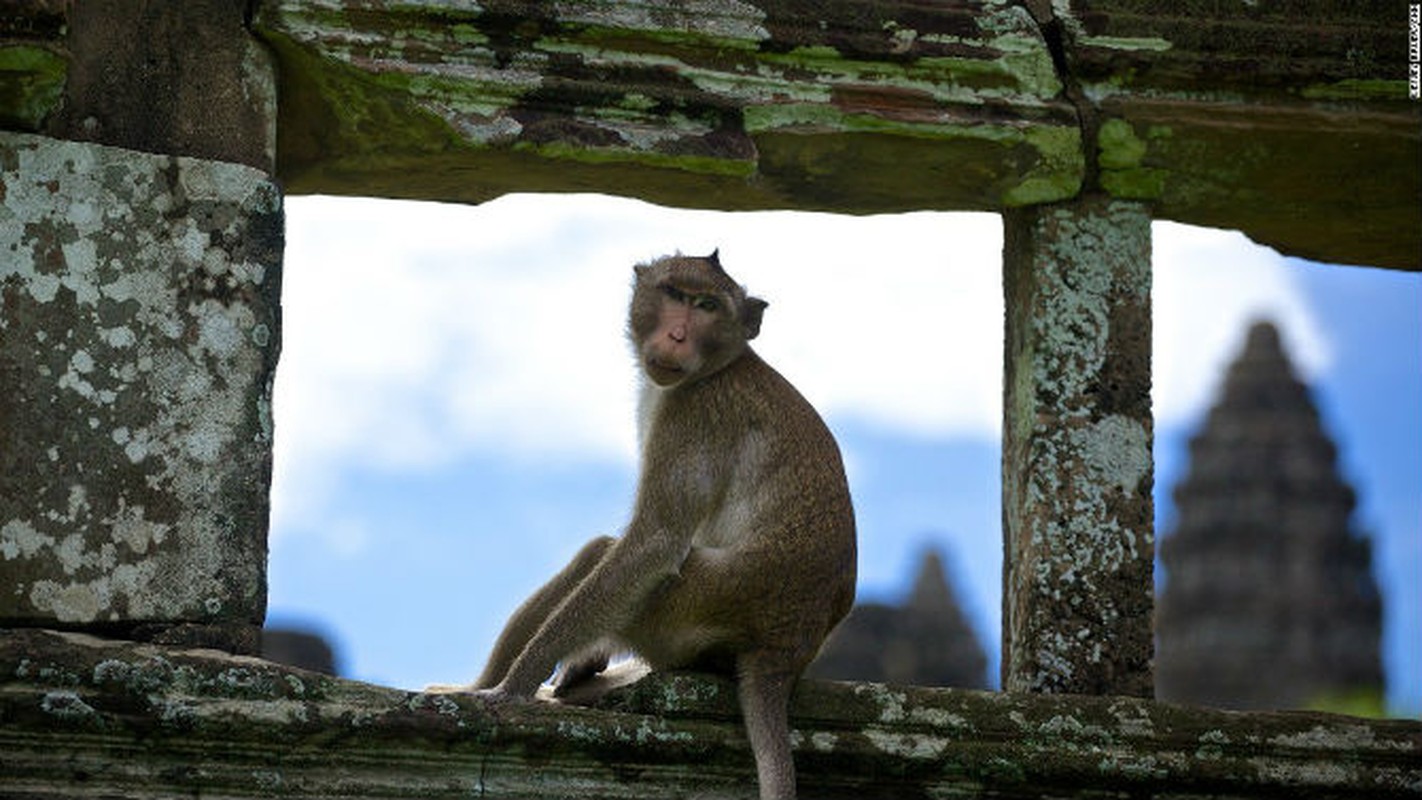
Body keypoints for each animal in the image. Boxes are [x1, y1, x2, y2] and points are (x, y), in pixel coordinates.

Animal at [432, 250, 853, 800]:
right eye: (675, 294)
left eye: (708, 306)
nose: (677, 335)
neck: (721, 365)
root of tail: (786, 648)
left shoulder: (696, 411)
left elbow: (654, 542)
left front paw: (512, 690)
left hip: (686, 608)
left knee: (604, 555)